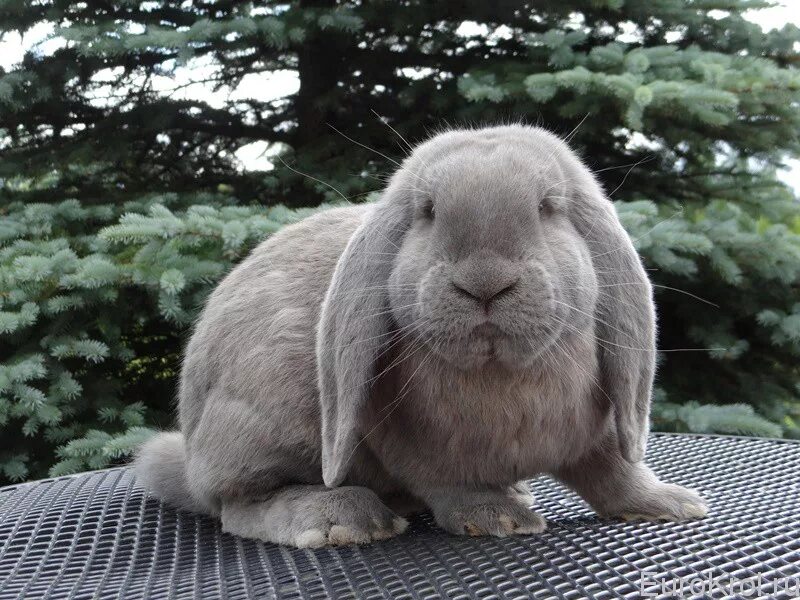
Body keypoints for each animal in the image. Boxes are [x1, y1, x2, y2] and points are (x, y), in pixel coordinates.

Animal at [136, 124, 708, 548]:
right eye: (427, 212)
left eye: (548, 206)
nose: (484, 282)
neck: (499, 371)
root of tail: (192, 454)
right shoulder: (416, 445)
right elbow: (449, 481)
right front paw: (497, 519)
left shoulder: (597, 433)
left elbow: (616, 472)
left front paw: (674, 505)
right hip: (260, 418)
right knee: (238, 505)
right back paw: (342, 519)